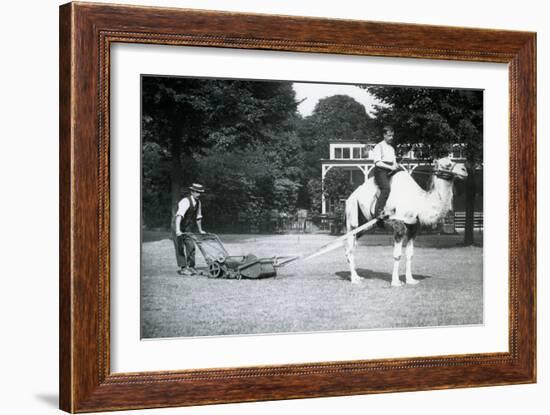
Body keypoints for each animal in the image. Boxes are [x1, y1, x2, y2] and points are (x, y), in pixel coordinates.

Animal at [348, 158, 468, 286]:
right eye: (447, 164)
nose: (464, 169)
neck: (419, 202)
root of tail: (350, 197)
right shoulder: (399, 225)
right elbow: (397, 255)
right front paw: (396, 282)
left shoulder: (413, 228)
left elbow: (410, 254)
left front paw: (411, 280)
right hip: (352, 219)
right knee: (349, 248)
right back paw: (354, 279)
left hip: (364, 226)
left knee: (352, 247)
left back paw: (358, 277)